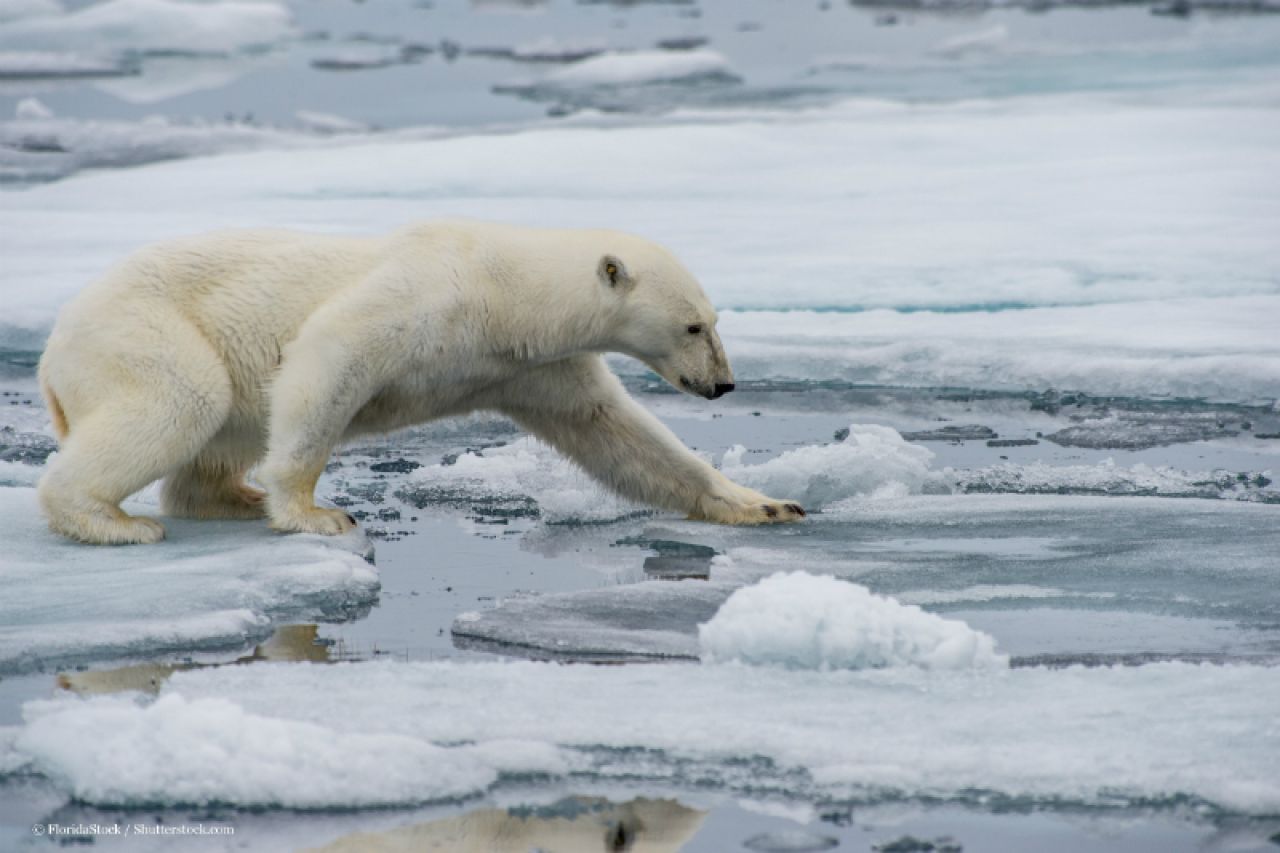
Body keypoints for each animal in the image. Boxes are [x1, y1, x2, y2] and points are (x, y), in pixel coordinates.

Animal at [40, 217, 803, 537]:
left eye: (712, 319)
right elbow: (332, 352)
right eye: (695, 327)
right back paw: (113, 522)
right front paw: (316, 513)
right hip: (147, 333)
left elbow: (614, 432)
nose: (722, 384)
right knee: (185, 399)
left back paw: (233, 497)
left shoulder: (527, 364)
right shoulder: (429, 297)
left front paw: (765, 504)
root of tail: (51, 357)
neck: (507, 291)